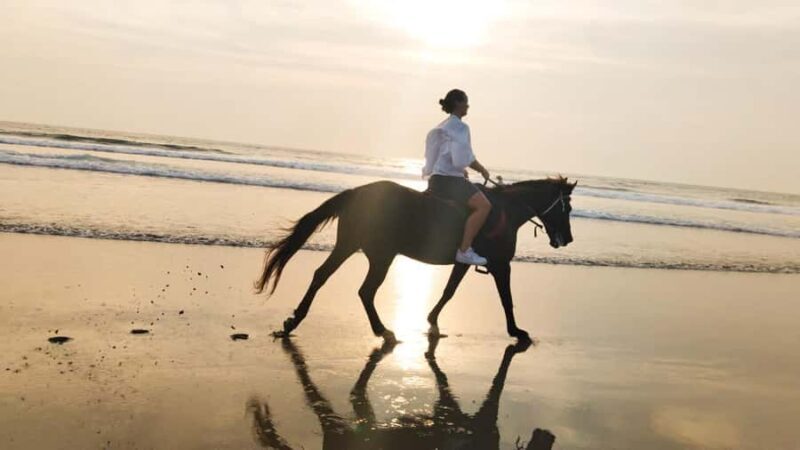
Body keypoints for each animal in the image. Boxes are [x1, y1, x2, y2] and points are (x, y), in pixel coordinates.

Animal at [256, 176, 576, 342]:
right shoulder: (500, 265)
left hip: (349, 245)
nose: (567, 239)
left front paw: (432, 321)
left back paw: (294, 321)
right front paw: (517, 332)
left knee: (322, 276)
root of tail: (356, 193)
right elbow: (506, 299)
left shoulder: (463, 263)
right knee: (365, 291)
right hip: (381, 255)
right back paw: (383, 331)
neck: (506, 211)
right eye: (567, 207)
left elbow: (449, 291)